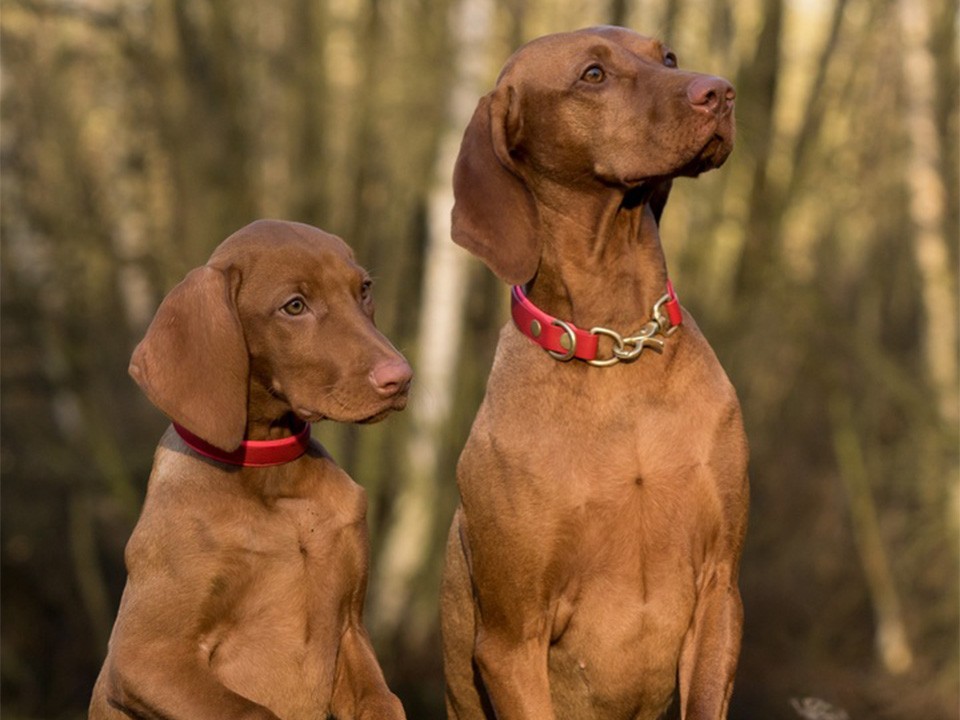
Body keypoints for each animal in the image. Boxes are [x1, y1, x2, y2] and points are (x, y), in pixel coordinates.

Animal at [86, 219, 408, 720]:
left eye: (364, 290)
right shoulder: (145, 657)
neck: (275, 481)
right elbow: (254, 710)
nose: (401, 377)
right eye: (294, 306)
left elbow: (384, 701)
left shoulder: (351, 631)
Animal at [442, 25, 752, 716]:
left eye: (667, 56)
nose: (720, 91)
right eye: (592, 76)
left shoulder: (719, 591)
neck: (619, 346)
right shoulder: (511, 638)